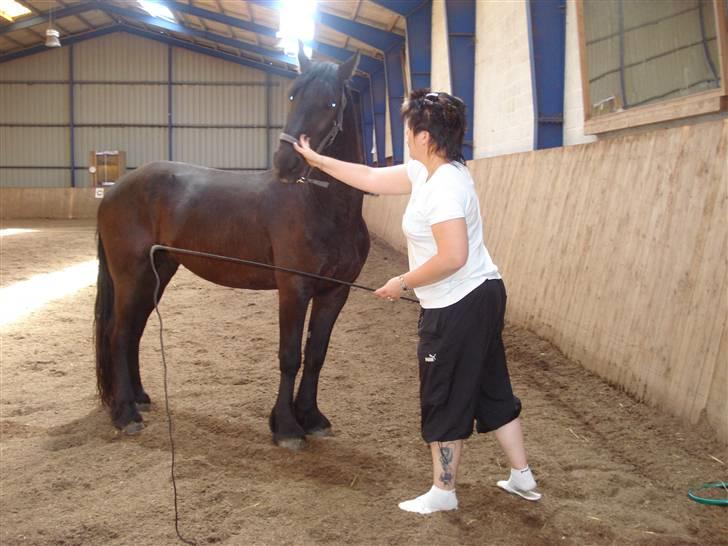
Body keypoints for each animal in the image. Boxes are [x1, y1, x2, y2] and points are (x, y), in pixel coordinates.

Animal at [94, 47, 370, 446]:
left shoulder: (335, 292)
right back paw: (125, 413)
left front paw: (311, 417)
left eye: (331, 102)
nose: (286, 163)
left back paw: (139, 397)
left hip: (156, 274)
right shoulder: (294, 289)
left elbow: (316, 355)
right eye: (292, 95)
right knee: (118, 333)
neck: (323, 207)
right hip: (131, 275)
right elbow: (290, 355)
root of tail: (115, 190)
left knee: (134, 330)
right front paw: (286, 427)